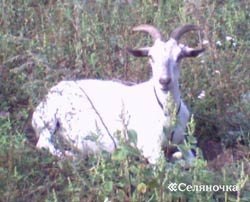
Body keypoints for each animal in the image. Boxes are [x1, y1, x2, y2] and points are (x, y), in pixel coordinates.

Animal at [31, 24, 203, 163]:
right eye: (150, 56)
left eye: (179, 56)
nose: (164, 81)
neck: (166, 112)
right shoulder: (149, 147)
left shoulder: (182, 141)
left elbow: (194, 162)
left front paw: (178, 157)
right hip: (48, 121)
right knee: (43, 144)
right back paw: (74, 156)